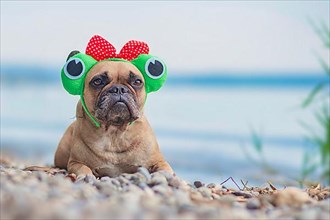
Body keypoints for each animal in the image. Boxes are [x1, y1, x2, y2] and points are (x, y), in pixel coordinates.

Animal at [54, 35, 173, 180]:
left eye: (137, 81)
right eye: (98, 81)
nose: (119, 89)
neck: (115, 133)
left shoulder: (159, 161)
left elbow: (165, 170)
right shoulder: (75, 162)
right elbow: (84, 168)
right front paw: (86, 177)